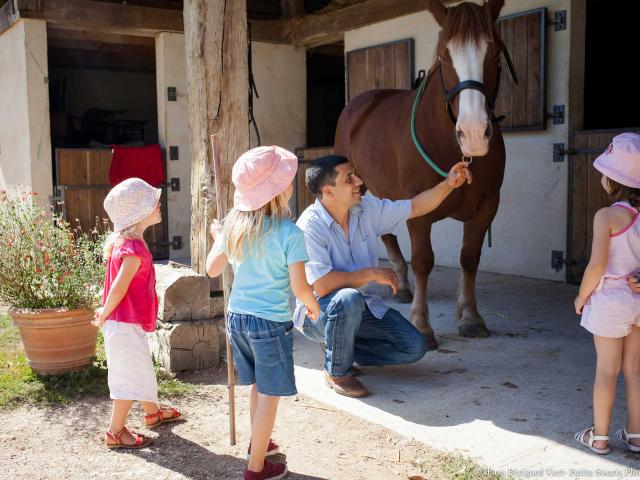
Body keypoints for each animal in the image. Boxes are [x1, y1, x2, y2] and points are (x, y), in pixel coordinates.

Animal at [332, 0, 516, 346]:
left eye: (494, 52)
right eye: (444, 54)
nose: (473, 133)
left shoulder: (487, 205)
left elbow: (469, 258)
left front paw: (470, 316)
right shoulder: (418, 208)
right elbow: (423, 260)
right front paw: (421, 323)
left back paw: (402, 285)